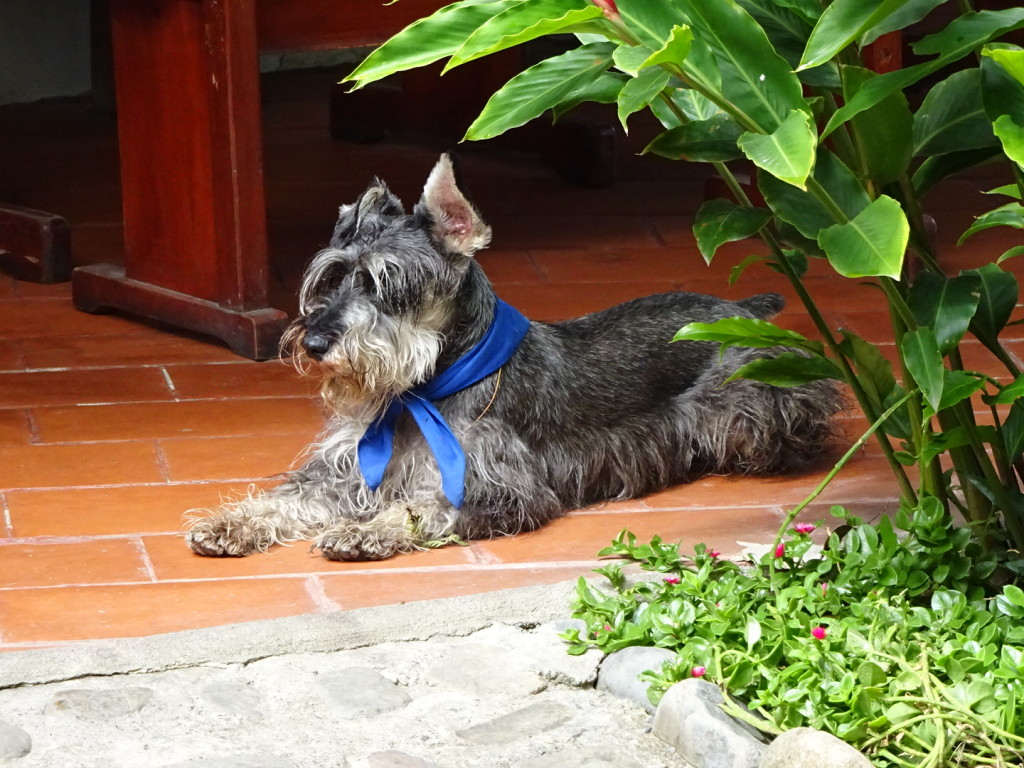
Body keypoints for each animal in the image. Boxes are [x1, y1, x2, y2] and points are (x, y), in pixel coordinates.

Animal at [184, 154, 839, 565]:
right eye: (333, 277)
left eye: (388, 283)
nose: (316, 343)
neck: (425, 390)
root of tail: (739, 308)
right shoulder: (344, 469)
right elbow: (290, 497)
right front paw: (232, 522)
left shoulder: (501, 487)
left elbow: (423, 507)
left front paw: (366, 533)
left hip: (750, 407)